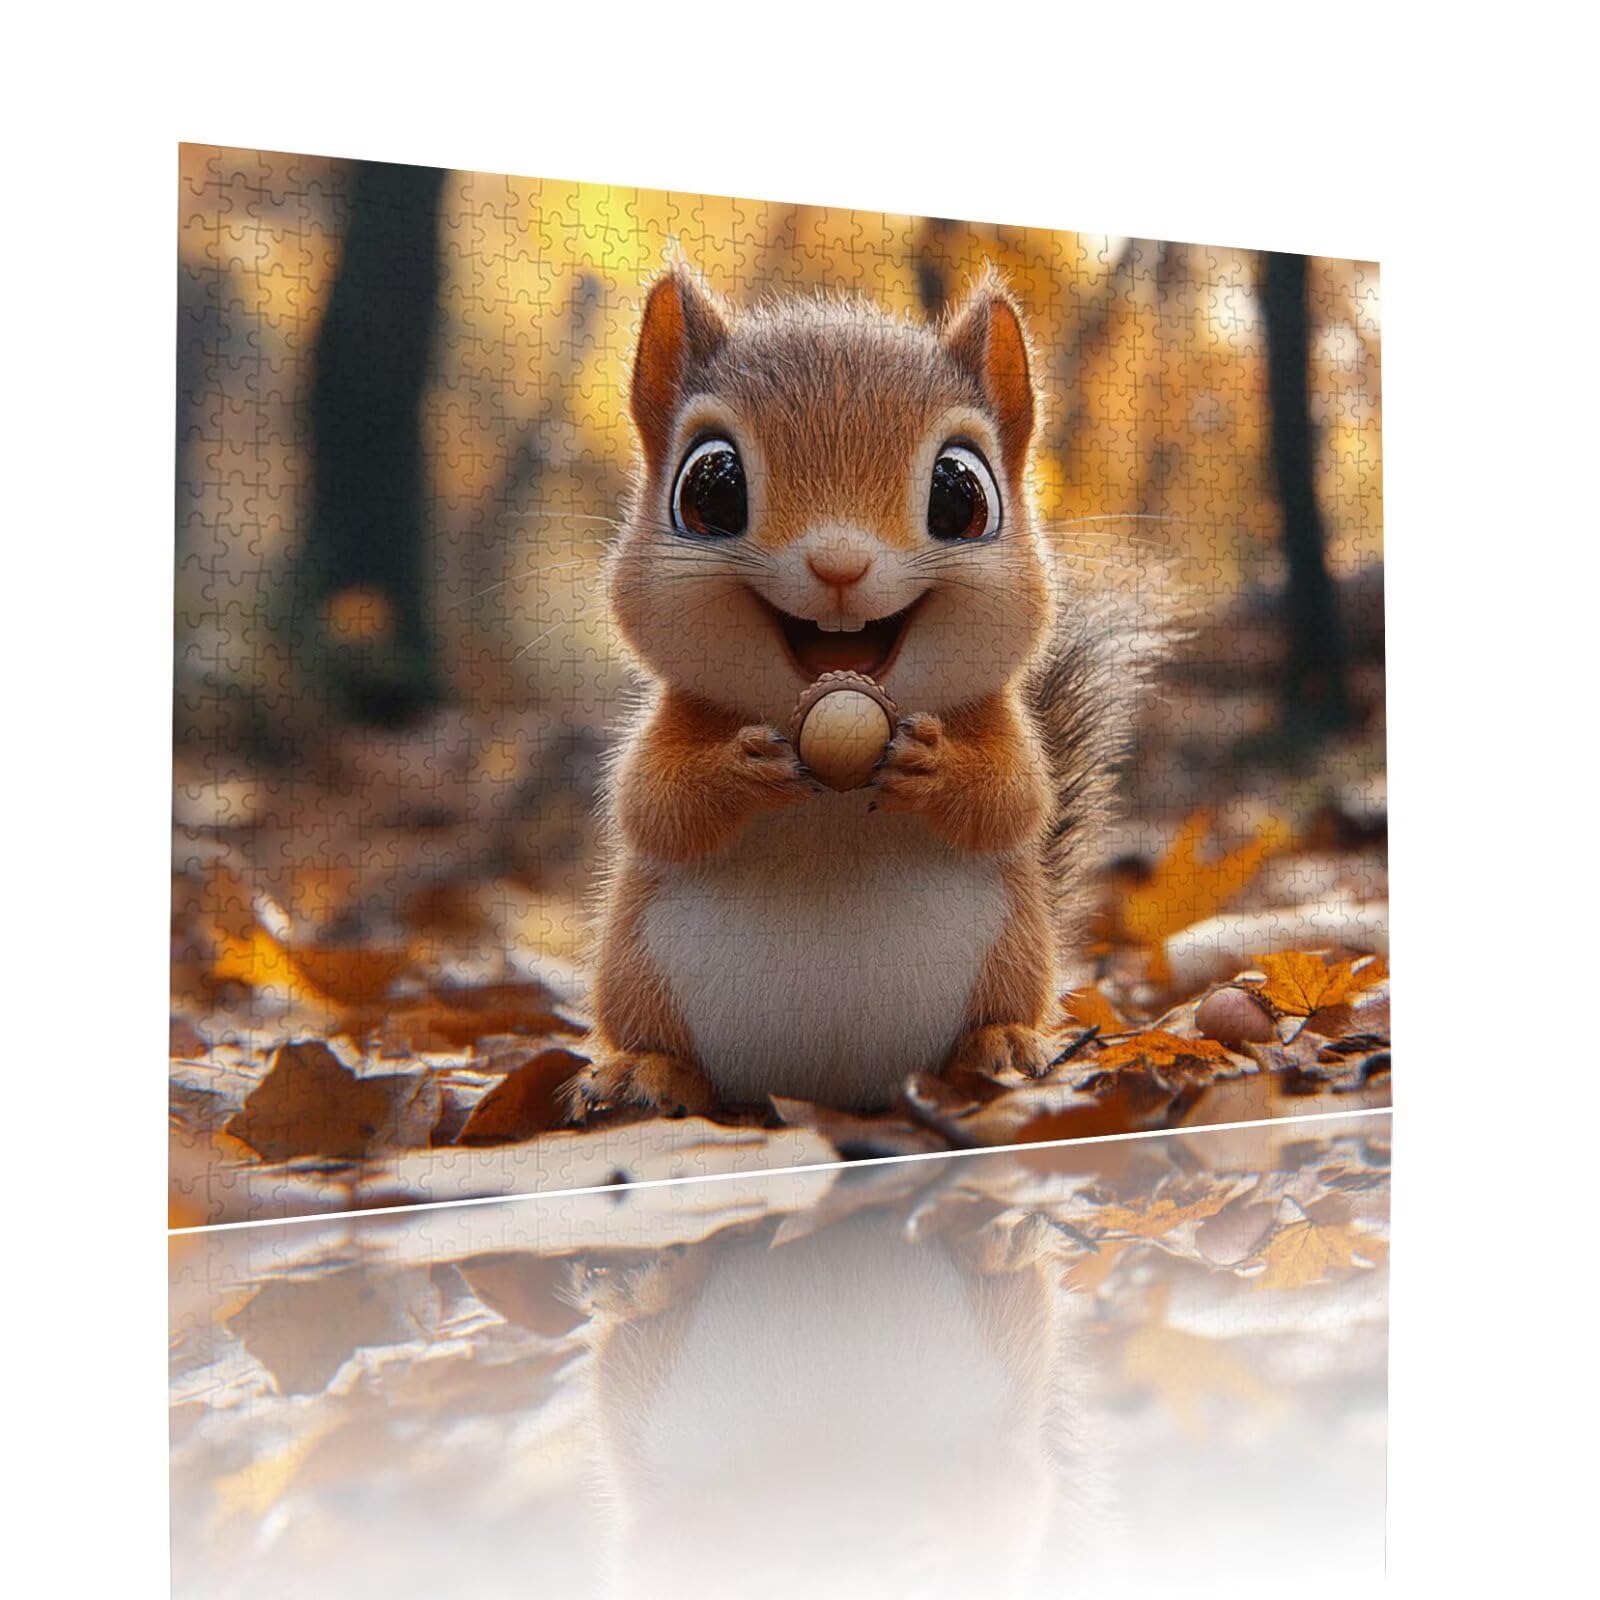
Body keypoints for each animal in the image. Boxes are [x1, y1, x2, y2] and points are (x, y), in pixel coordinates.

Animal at [572, 262, 1141, 1118]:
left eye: (960, 493)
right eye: (711, 489)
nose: (839, 564)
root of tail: (830, 1091)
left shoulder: (1000, 726)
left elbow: (1013, 798)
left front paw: (934, 766)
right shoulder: (671, 722)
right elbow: (654, 803)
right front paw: (740, 767)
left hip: (1010, 957)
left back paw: (1002, 1045)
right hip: (639, 976)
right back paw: (647, 1073)